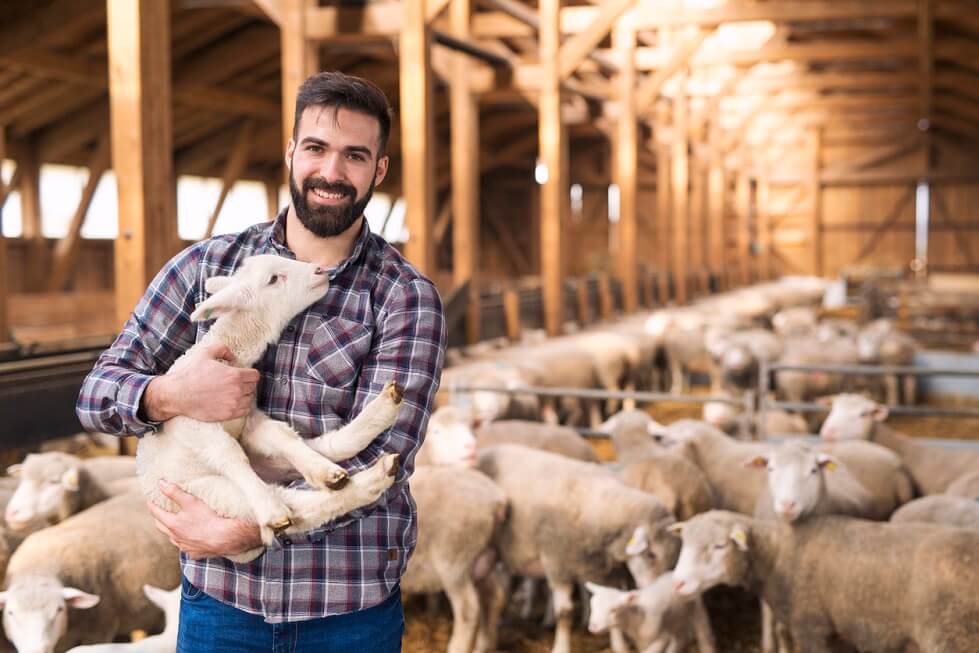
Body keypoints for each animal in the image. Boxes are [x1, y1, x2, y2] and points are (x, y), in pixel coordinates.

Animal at [135, 255, 404, 563]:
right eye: (274, 279)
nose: (320, 270)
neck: (232, 355)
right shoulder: (193, 420)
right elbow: (229, 453)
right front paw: (271, 508)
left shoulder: (248, 419)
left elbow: (280, 435)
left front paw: (324, 472)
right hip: (212, 494)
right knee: (302, 508)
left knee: (324, 448)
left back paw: (374, 425)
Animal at [402, 406, 508, 653]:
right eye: (437, 432)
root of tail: (496, 499)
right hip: (484, 557)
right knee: (494, 595)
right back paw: (484, 645)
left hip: (455, 559)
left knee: (469, 610)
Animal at [477, 444, 679, 653]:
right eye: (651, 554)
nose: (659, 594)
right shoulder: (556, 561)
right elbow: (564, 612)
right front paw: (561, 647)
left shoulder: (605, 572)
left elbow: (612, 603)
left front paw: (619, 646)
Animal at [585, 574, 715, 653]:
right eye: (592, 606)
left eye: (614, 609)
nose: (593, 627)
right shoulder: (640, 640)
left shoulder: (661, 636)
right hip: (675, 620)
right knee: (680, 638)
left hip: (696, 609)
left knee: (701, 632)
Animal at [670, 510, 979, 653]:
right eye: (684, 542)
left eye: (720, 546)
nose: (678, 584)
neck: (777, 554)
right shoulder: (839, 631)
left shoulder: (812, 628)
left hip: (950, 635)